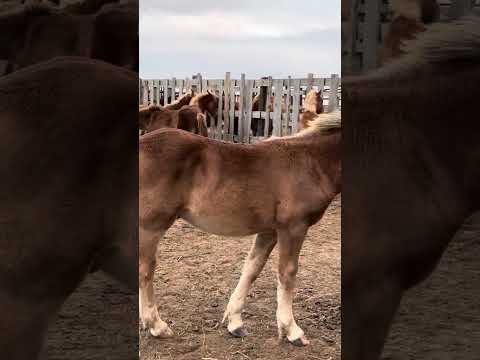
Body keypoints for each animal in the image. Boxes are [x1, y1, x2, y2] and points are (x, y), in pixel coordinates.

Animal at [139, 112, 342, 346]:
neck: (313, 164)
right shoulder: (293, 227)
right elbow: (287, 273)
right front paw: (292, 330)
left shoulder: (270, 231)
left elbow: (252, 268)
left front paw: (234, 322)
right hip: (151, 226)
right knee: (145, 271)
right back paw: (156, 325)